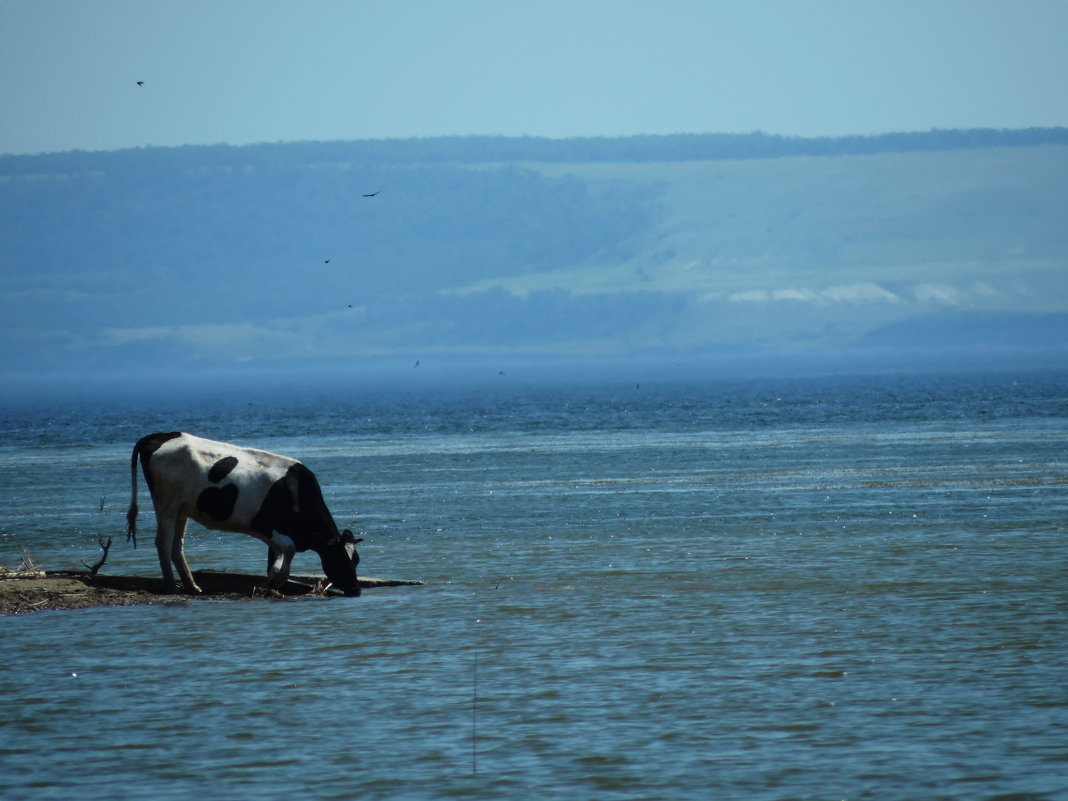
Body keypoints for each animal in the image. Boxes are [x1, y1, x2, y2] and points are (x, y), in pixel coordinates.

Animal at [125, 433, 363, 598]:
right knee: (163, 543)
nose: (356, 589)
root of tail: (160, 435)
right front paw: (275, 584)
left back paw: (192, 586)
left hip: (182, 509)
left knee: (177, 547)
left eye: (356, 560)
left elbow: (274, 563)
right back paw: (172, 586)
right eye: (340, 557)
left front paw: (270, 585)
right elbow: (288, 551)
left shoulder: (275, 535)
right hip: (166, 505)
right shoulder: (263, 525)